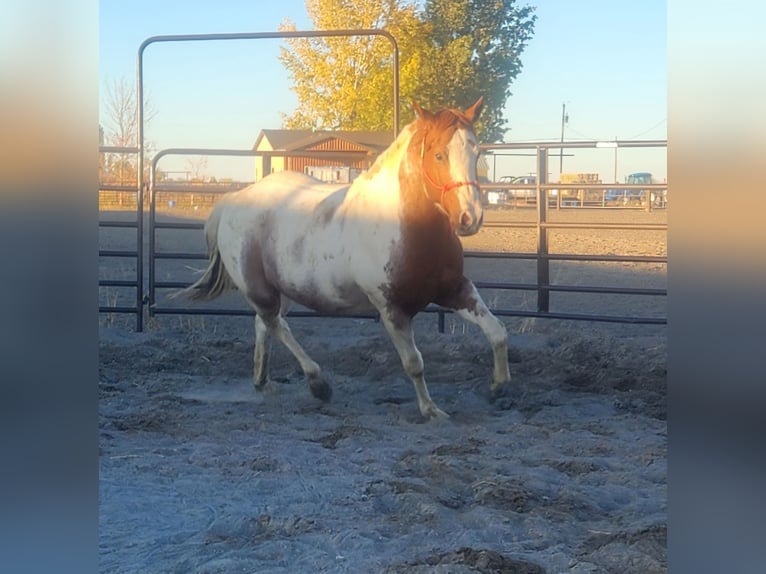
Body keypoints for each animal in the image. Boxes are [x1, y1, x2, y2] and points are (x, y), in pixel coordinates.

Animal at [179, 99, 512, 420]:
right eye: (440, 155)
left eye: (477, 151)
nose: (470, 218)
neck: (402, 224)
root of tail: (234, 200)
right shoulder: (392, 309)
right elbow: (414, 363)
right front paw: (431, 410)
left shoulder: (455, 290)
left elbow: (497, 332)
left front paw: (497, 387)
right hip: (258, 290)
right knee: (277, 326)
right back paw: (318, 384)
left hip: (282, 290)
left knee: (264, 326)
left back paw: (263, 382)